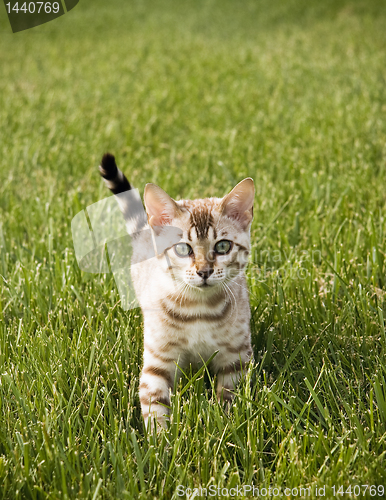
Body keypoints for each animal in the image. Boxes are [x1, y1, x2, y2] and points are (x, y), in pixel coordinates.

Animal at [99, 153, 253, 430]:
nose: (204, 271)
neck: (200, 309)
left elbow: (230, 399)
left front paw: (225, 426)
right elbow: (155, 404)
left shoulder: (235, 357)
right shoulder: (158, 361)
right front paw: (161, 439)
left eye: (223, 246)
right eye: (183, 249)